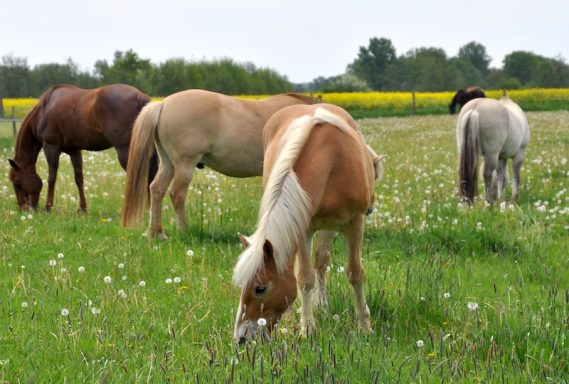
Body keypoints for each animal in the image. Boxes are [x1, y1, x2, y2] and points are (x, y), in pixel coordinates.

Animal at [8, 82, 155, 212]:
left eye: (17, 182)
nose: (23, 209)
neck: (45, 109)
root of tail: (139, 96)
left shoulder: (51, 147)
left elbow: (51, 178)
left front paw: (48, 207)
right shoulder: (74, 151)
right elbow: (79, 179)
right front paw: (83, 208)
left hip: (126, 151)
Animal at [122, 89, 322, 238]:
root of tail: (163, 104)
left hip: (168, 164)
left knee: (156, 189)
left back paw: (156, 233)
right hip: (185, 165)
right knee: (177, 194)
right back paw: (184, 231)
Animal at [233, 103, 384, 340]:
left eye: (260, 288)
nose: (241, 338)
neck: (332, 160)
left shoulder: (354, 222)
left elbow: (355, 273)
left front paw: (364, 326)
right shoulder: (303, 227)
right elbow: (304, 278)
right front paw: (307, 328)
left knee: (322, 260)